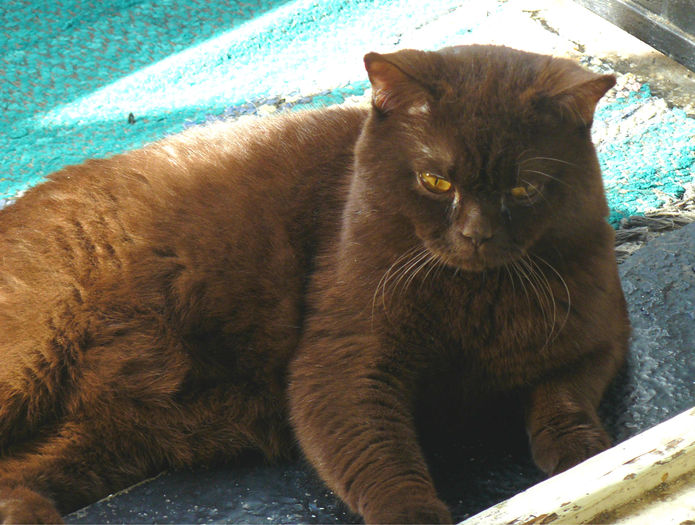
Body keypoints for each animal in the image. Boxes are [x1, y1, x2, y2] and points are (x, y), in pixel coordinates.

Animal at [0, 46, 632, 524]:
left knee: (14, 473)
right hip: (33, 368)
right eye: (435, 181)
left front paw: (585, 454)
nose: (476, 233)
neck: (475, 307)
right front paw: (419, 512)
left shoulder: (599, 335)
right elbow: (381, 461)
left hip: (110, 439)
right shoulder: (341, 364)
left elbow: (565, 397)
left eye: (524, 189)